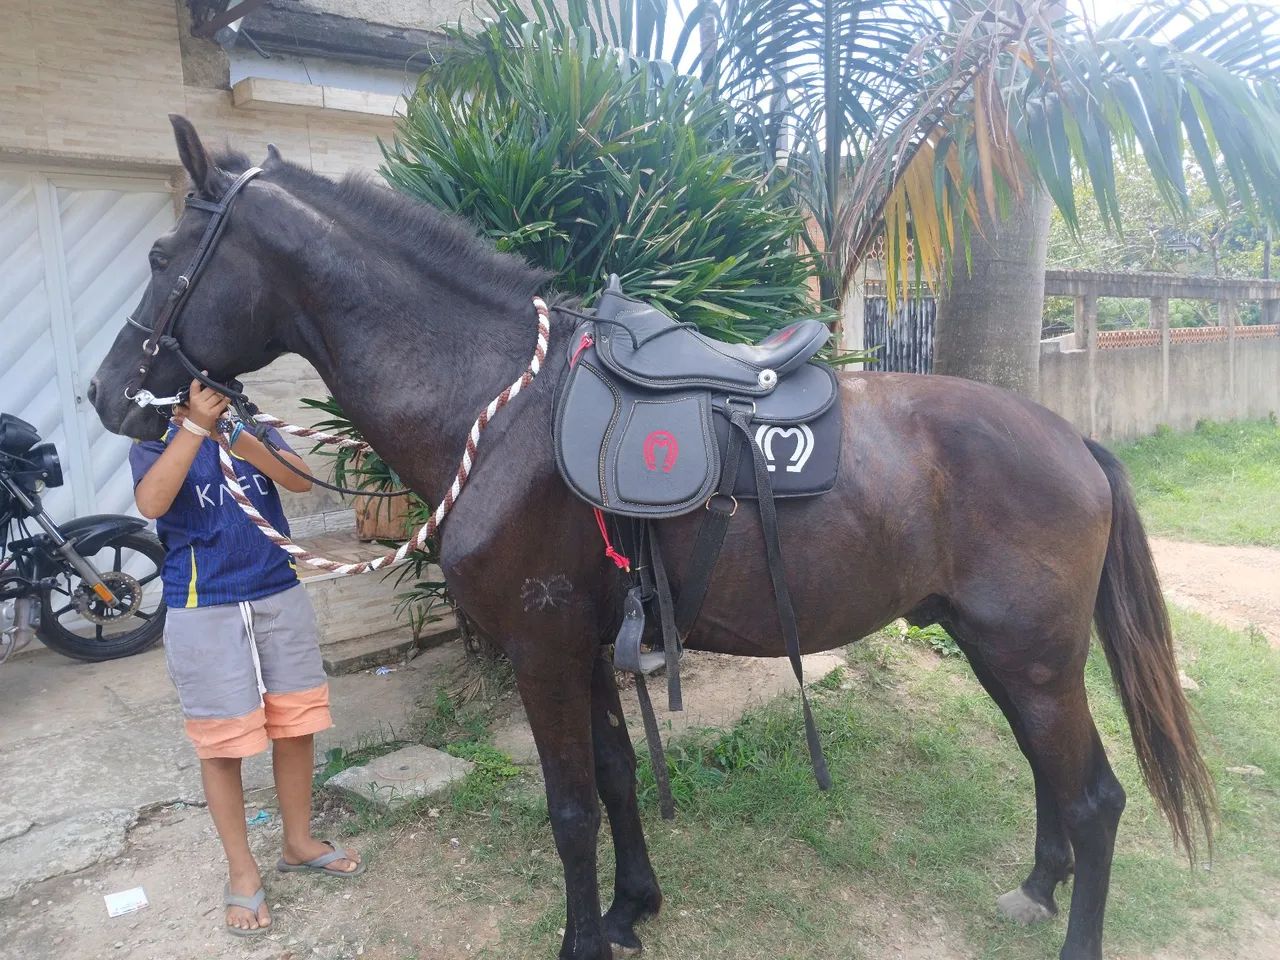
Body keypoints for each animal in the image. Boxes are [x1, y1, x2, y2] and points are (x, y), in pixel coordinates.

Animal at [89, 117, 1213, 960]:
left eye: (161, 257)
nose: (107, 395)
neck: (499, 407)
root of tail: (1070, 438)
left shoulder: (540, 649)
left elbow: (570, 806)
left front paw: (584, 939)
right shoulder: (585, 646)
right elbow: (619, 776)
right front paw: (634, 909)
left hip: (1031, 657)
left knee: (1094, 798)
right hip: (1002, 653)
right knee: (1051, 778)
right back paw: (1035, 887)